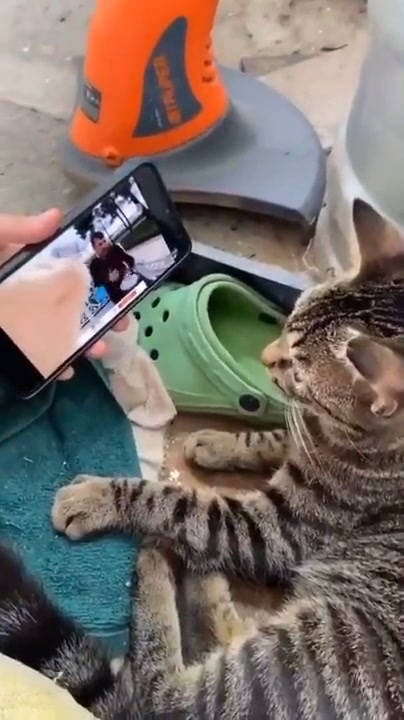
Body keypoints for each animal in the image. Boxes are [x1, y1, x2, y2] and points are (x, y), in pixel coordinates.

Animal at [9, 197, 404, 718]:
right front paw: (221, 443)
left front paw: (98, 497)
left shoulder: (280, 526)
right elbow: (275, 437)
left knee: (164, 692)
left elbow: (177, 501)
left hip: (312, 651)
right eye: (289, 320)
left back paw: (158, 565)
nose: (266, 355)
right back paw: (206, 576)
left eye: (295, 367)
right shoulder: (304, 440)